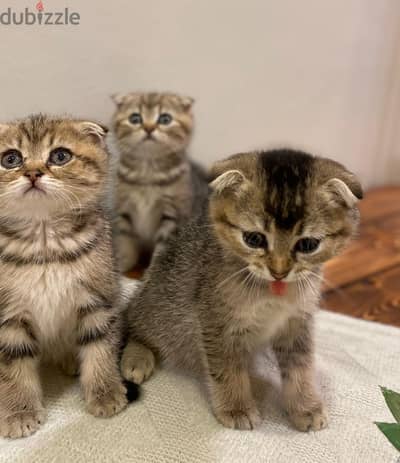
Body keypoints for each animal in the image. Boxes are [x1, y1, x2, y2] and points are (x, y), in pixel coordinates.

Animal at [0, 115, 138, 438]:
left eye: (60, 156)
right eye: (11, 159)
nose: (33, 173)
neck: (44, 244)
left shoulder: (98, 299)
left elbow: (100, 347)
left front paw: (105, 391)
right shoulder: (7, 316)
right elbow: (12, 363)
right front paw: (19, 410)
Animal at [110, 91, 208, 272]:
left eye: (165, 119)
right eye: (135, 118)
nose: (148, 128)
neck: (147, 173)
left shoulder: (172, 216)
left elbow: (161, 250)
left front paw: (151, 271)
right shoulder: (124, 209)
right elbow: (124, 241)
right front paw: (121, 265)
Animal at [121, 150, 362, 434]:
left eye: (308, 245)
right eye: (254, 239)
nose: (279, 271)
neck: (271, 291)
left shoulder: (297, 321)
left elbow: (301, 366)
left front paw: (306, 406)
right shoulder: (217, 322)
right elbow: (227, 369)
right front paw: (237, 408)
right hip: (160, 306)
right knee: (135, 323)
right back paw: (137, 357)